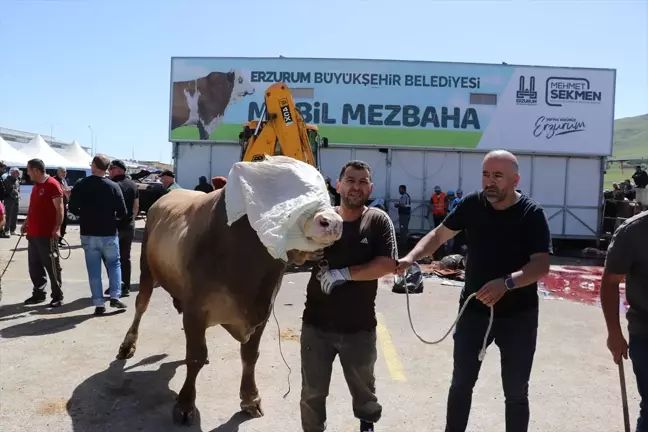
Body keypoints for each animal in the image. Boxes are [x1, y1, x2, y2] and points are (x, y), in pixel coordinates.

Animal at [116, 186, 342, 426]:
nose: (332, 222)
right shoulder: (195, 311)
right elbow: (194, 357)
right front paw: (185, 404)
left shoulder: (263, 312)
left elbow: (250, 356)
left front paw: (250, 399)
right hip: (146, 269)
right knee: (141, 305)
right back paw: (127, 345)